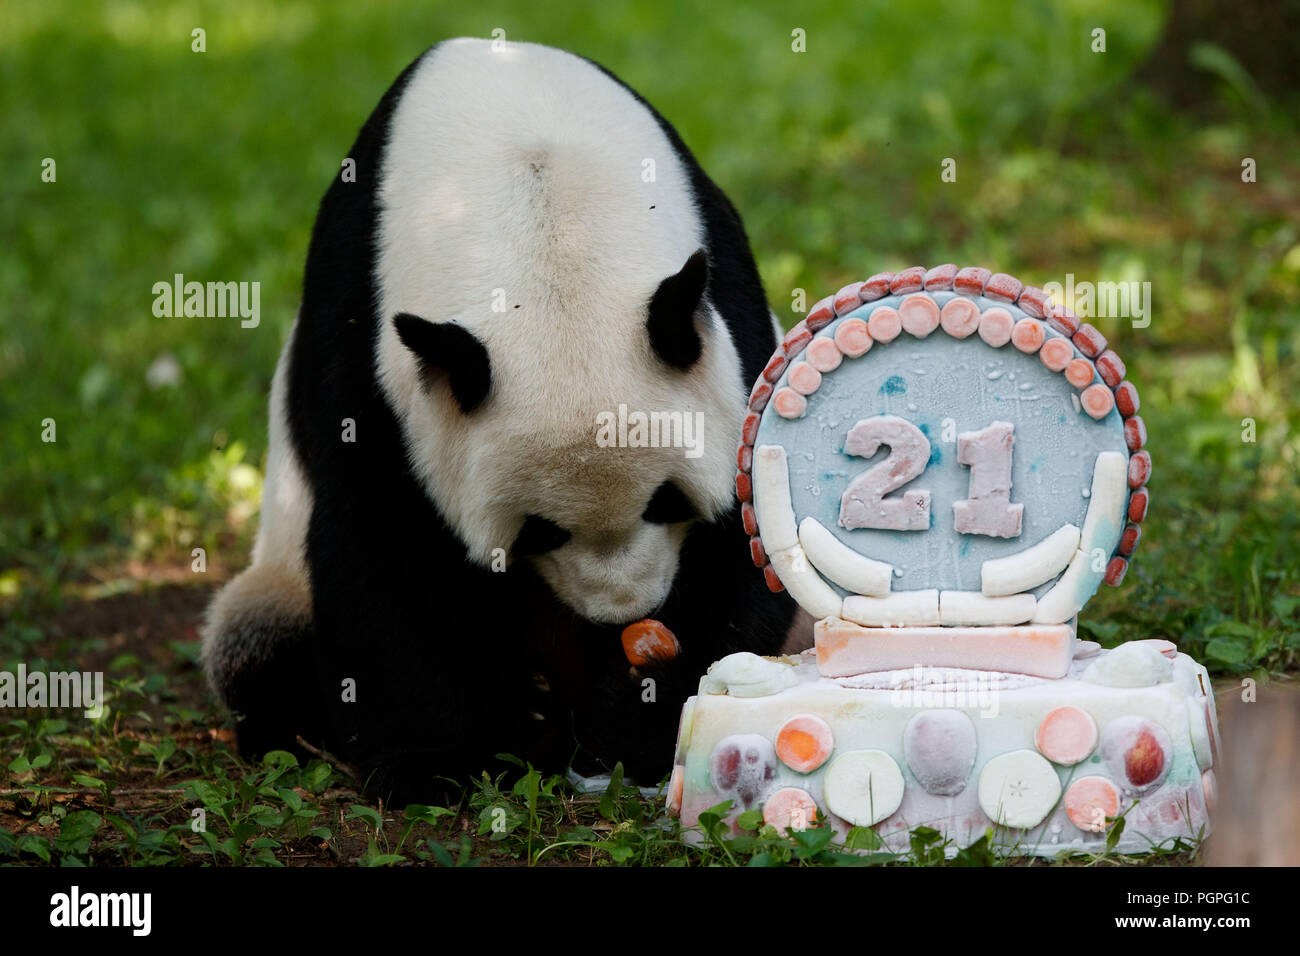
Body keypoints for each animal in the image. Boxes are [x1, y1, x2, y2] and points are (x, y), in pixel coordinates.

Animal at [202, 35, 795, 801]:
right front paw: (438, 762)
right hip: (274, 581)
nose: (621, 611)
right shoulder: (364, 343)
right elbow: (384, 543)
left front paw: (642, 708)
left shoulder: (728, 307)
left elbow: (751, 532)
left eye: (666, 501)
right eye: (539, 530)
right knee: (258, 648)